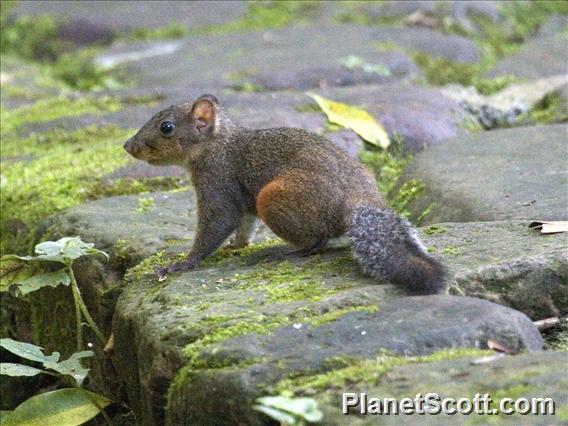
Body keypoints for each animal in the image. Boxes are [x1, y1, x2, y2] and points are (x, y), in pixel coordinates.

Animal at [124, 93, 448, 294]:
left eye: (167, 127)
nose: (128, 146)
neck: (218, 143)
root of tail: (360, 200)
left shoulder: (218, 182)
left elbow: (216, 225)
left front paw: (184, 263)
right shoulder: (242, 204)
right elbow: (244, 225)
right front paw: (236, 245)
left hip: (273, 198)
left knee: (317, 242)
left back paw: (285, 251)